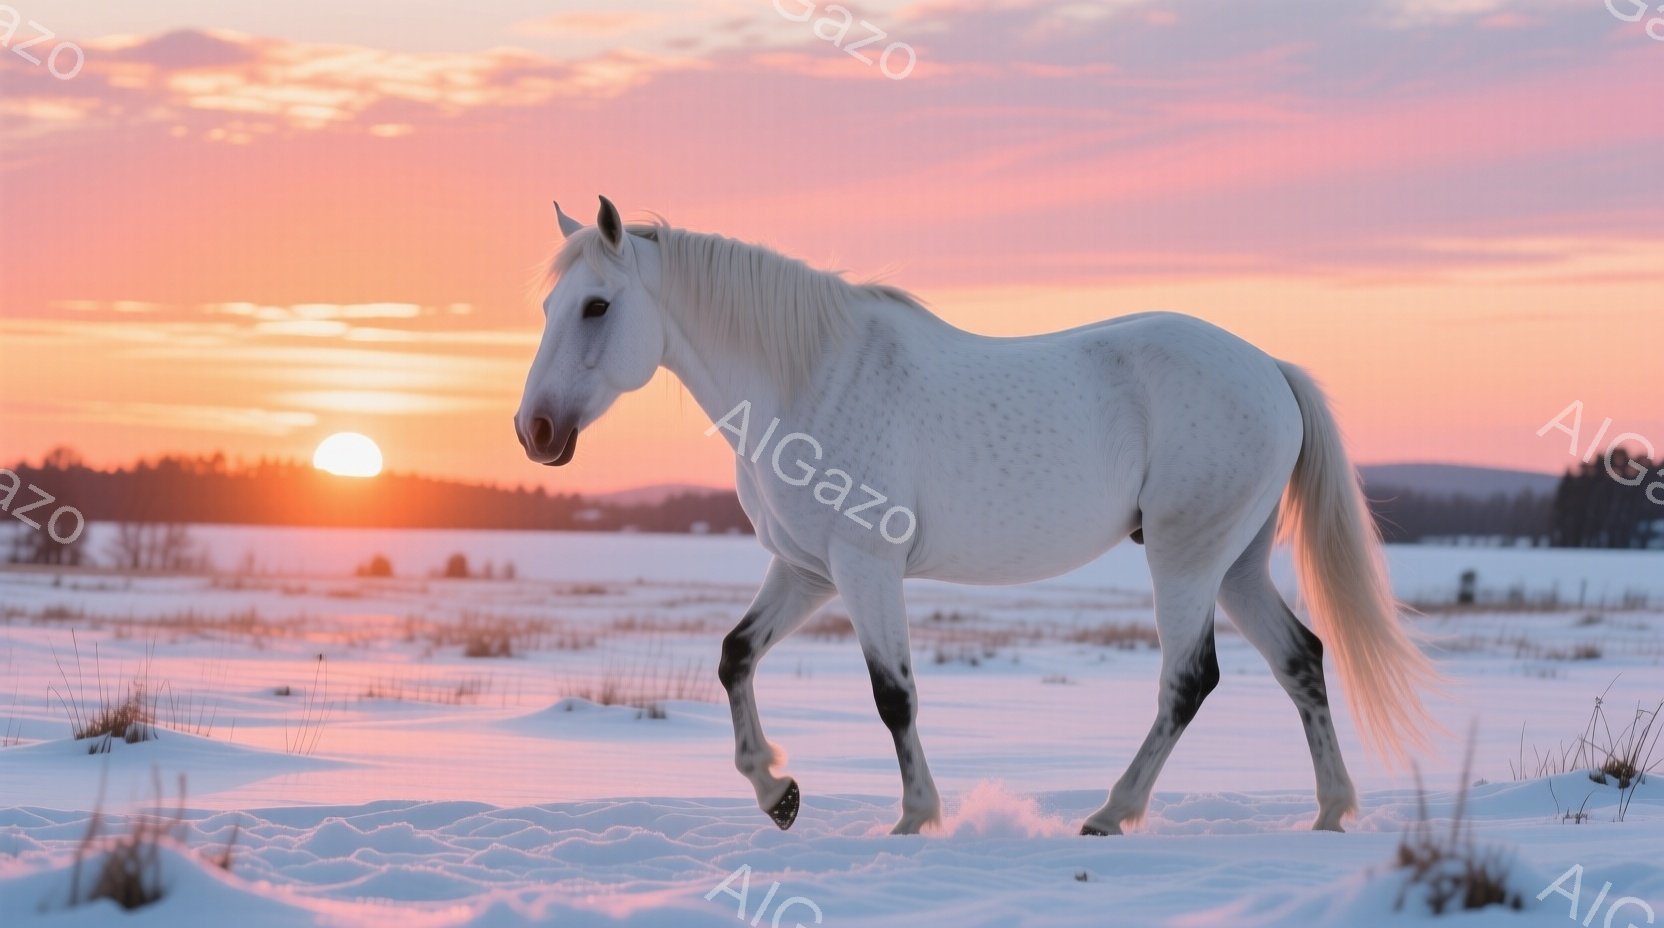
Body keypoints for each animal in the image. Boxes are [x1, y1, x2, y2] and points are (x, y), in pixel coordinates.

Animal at [515, 196, 1435, 836]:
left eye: (596, 306)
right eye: (548, 308)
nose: (535, 431)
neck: (806, 377)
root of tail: (1271, 369)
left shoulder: (866, 568)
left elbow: (894, 694)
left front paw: (916, 816)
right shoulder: (808, 570)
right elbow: (734, 656)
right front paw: (777, 792)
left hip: (1185, 558)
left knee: (1189, 679)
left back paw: (1111, 813)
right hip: (1237, 563)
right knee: (1301, 660)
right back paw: (1329, 810)